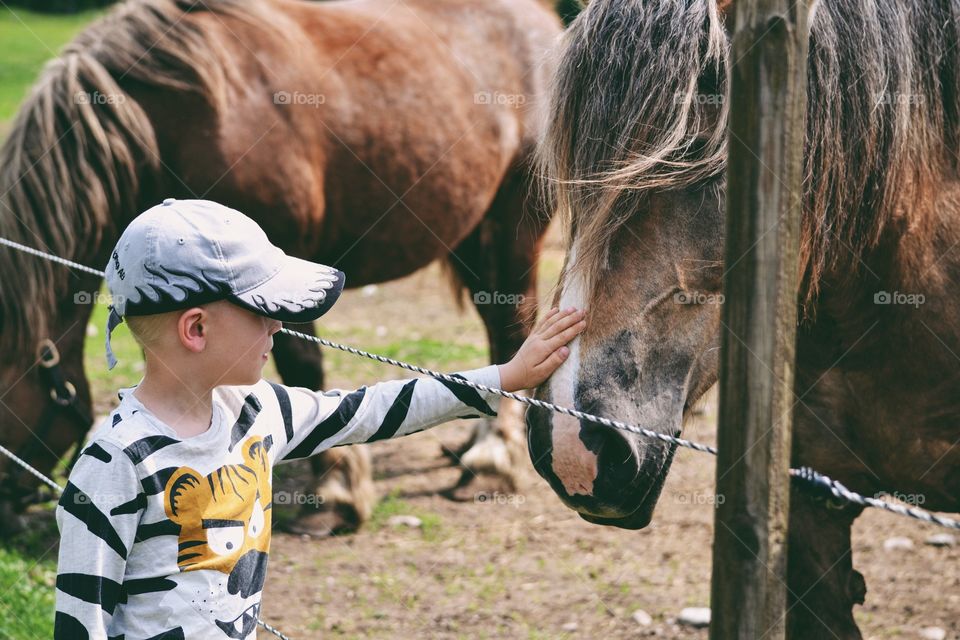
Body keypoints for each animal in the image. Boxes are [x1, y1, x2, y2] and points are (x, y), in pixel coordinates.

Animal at [0, 0, 563, 536]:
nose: (11, 510)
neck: (183, 117)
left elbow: (302, 368)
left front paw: (333, 492)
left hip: (513, 225)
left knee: (510, 326)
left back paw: (490, 460)